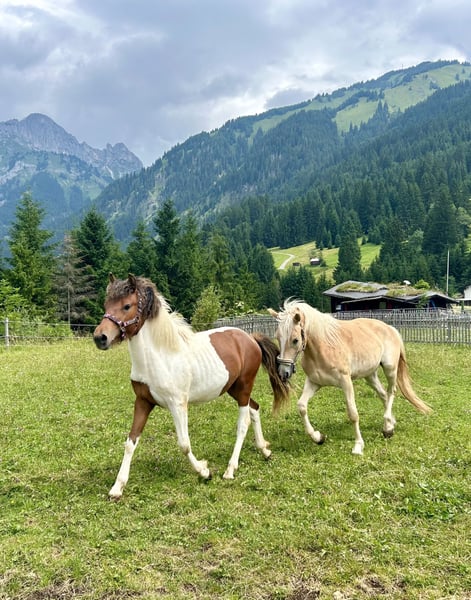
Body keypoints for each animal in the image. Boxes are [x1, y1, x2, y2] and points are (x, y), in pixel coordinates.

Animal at [93, 274, 290, 500]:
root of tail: (250, 338)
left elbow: (184, 444)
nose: (100, 337)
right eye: (106, 304)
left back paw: (230, 469)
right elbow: (130, 442)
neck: (159, 357)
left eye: (127, 306)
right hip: (233, 389)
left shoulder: (177, 404)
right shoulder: (143, 402)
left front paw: (204, 471)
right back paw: (264, 450)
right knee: (255, 409)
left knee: (243, 422)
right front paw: (117, 488)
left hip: (244, 387)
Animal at [268, 300, 431, 455]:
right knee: (383, 395)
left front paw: (358, 446)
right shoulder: (314, 382)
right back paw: (389, 424)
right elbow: (301, 407)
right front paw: (318, 437)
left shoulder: (345, 382)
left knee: (391, 392)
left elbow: (353, 414)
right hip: (370, 376)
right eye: (277, 337)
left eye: (295, 340)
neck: (323, 348)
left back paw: (388, 429)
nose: (283, 372)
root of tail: (390, 328)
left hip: (390, 369)